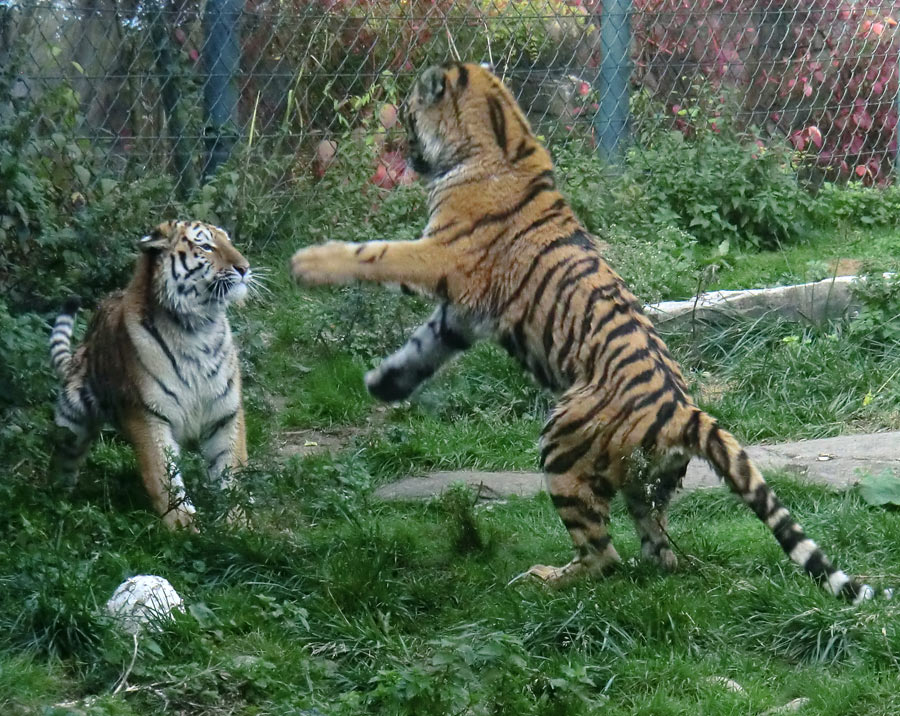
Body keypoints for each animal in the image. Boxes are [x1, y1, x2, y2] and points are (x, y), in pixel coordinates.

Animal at [51, 221, 251, 528]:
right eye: (206, 246)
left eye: (229, 242)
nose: (244, 267)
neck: (198, 327)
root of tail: (84, 346)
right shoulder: (148, 415)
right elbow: (164, 479)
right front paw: (183, 529)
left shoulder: (226, 413)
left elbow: (231, 471)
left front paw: (238, 525)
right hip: (71, 422)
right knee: (64, 459)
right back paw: (55, 502)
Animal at [296, 63, 892, 604]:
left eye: (408, 113)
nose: (403, 149)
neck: (501, 135)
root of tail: (685, 411)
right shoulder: (463, 312)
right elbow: (423, 348)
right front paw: (383, 385)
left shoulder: (443, 256)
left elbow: (374, 255)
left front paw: (307, 264)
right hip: (646, 485)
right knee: (660, 551)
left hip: (560, 444)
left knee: (605, 557)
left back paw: (542, 581)